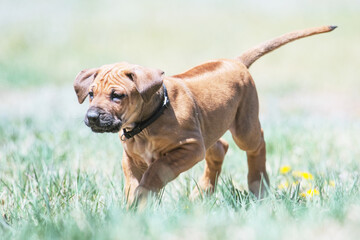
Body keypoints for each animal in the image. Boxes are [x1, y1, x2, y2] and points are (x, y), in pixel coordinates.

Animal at [74, 25, 338, 202]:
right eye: (91, 93)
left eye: (117, 95)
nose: (92, 117)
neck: (146, 124)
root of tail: (235, 61)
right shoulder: (131, 158)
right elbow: (133, 184)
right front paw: (134, 207)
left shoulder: (190, 147)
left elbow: (157, 170)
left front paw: (144, 195)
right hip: (210, 127)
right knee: (220, 147)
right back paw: (203, 192)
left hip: (243, 126)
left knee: (257, 143)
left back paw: (258, 185)